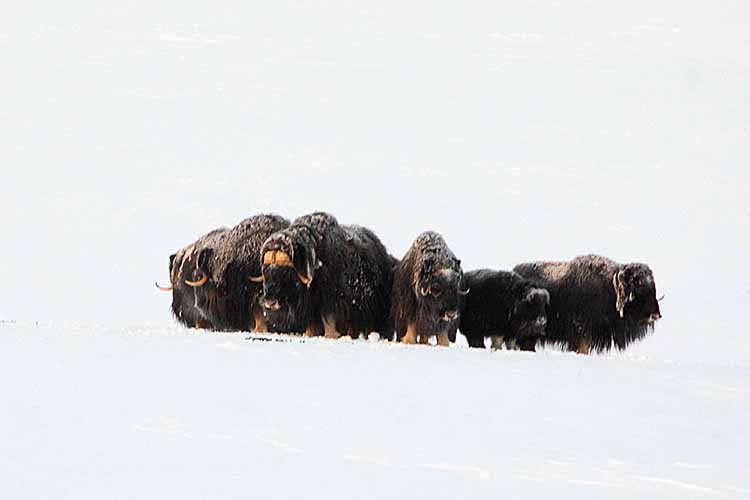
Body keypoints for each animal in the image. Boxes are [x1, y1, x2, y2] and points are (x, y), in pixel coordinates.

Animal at [254, 211, 396, 340]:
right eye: (265, 270)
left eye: (286, 271)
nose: (269, 301)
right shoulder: (310, 307)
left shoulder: (331, 301)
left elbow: (328, 320)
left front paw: (331, 336)